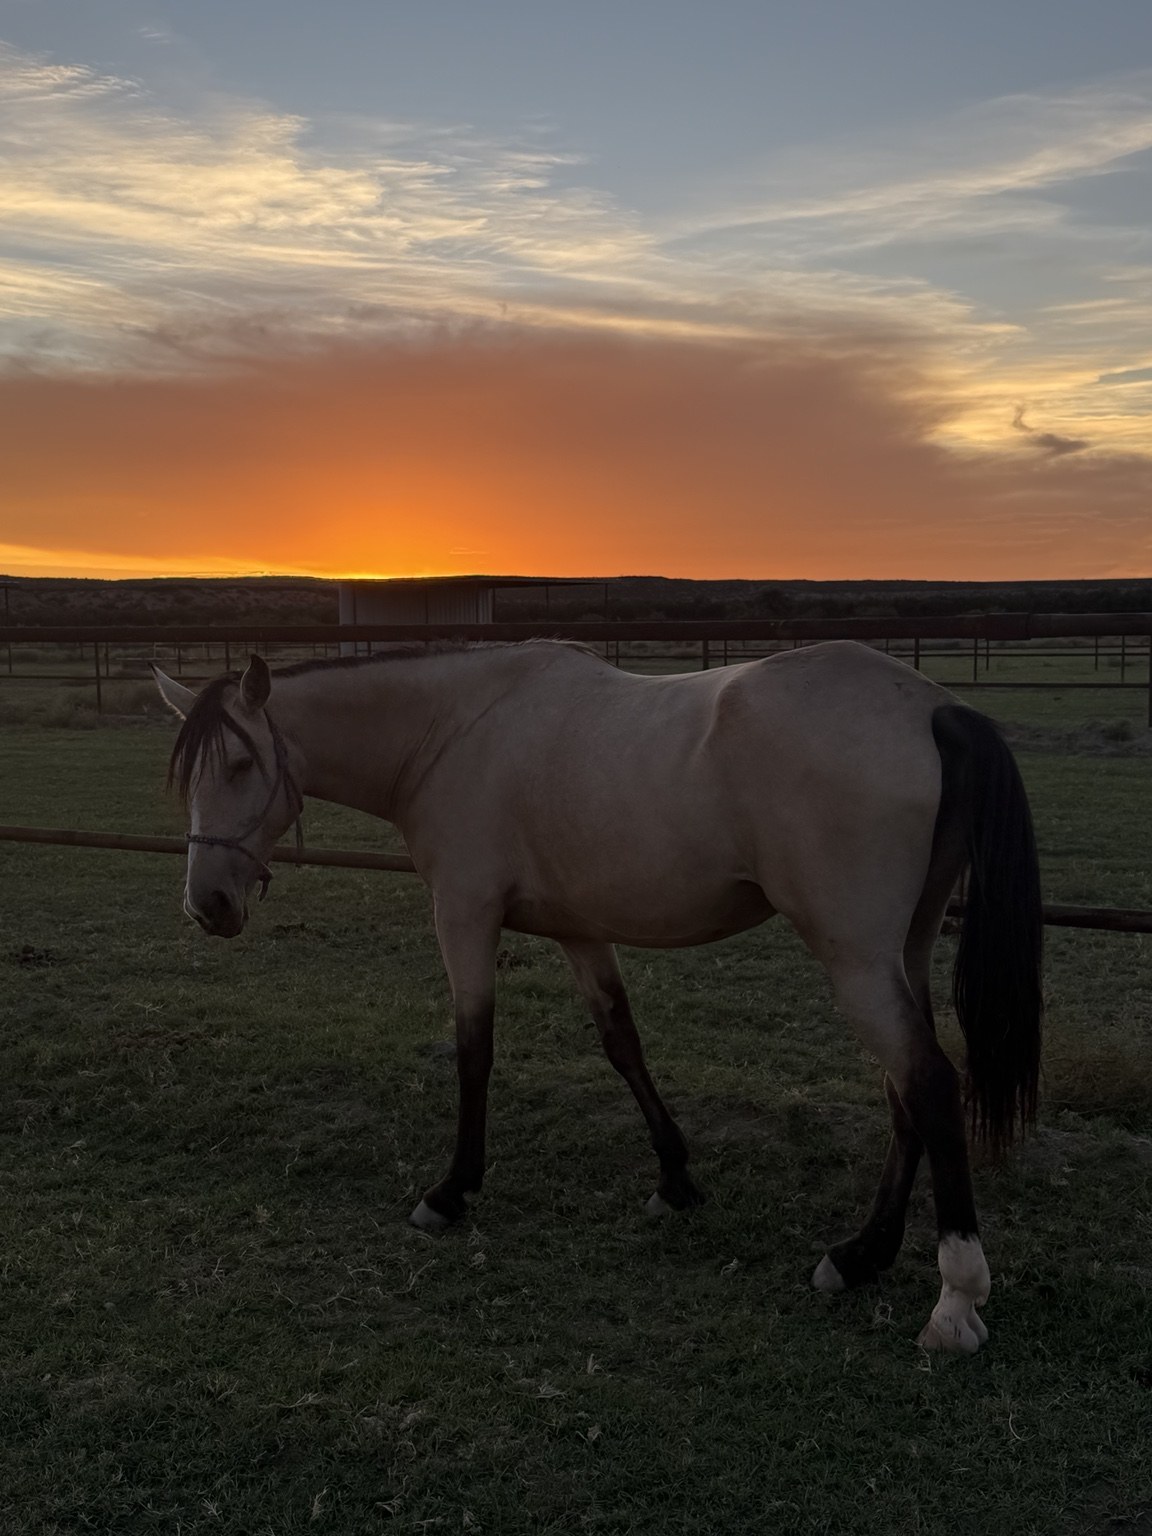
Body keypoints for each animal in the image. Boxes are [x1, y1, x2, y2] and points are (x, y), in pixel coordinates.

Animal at [153, 638, 1042, 1354]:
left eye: (239, 766)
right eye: (186, 776)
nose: (207, 905)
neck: (452, 732)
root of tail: (935, 707)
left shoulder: (465, 916)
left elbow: (474, 1049)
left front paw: (452, 1192)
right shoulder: (580, 932)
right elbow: (622, 1043)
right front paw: (675, 1179)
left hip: (855, 957)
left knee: (929, 1083)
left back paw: (954, 1300)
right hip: (901, 952)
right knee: (906, 1093)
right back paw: (860, 1257)